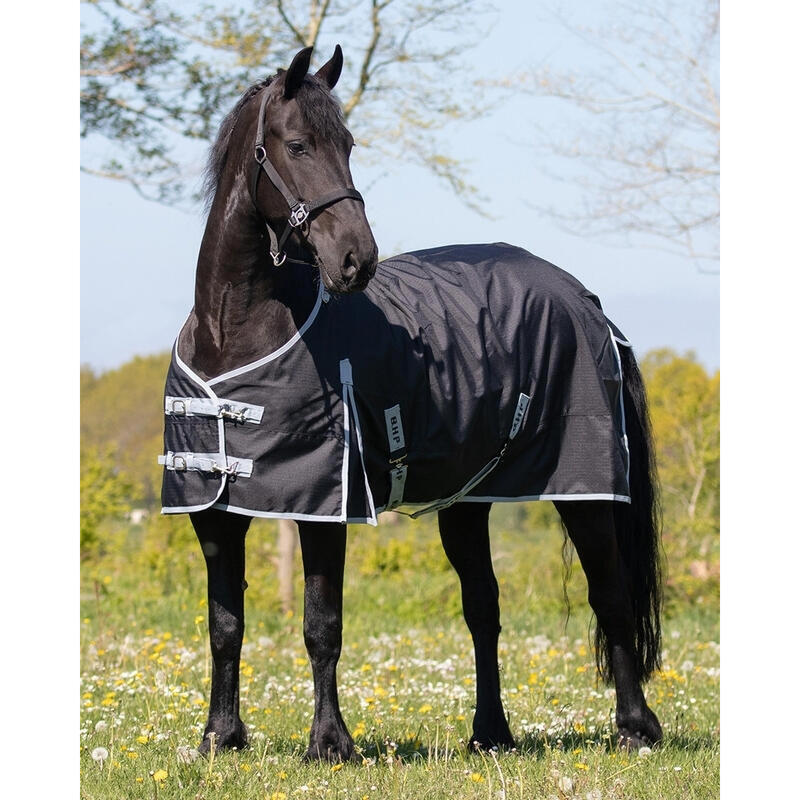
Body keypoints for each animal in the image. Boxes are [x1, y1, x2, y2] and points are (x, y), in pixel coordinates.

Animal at [159, 45, 664, 762]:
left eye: (349, 143)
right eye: (297, 144)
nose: (357, 260)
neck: (234, 332)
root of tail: (585, 300)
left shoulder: (325, 506)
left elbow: (321, 624)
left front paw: (329, 744)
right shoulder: (213, 511)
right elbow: (225, 624)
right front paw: (220, 738)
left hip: (584, 491)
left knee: (610, 595)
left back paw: (635, 729)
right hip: (470, 500)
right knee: (484, 608)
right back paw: (490, 734)